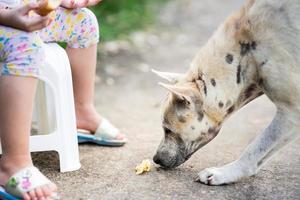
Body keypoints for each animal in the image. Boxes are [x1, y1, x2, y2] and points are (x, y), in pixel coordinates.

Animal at [152, 0, 300, 185]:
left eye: (168, 130)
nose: (155, 159)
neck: (247, 53)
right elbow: (261, 155)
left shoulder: (291, 112)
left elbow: (255, 148)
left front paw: (224, 173)